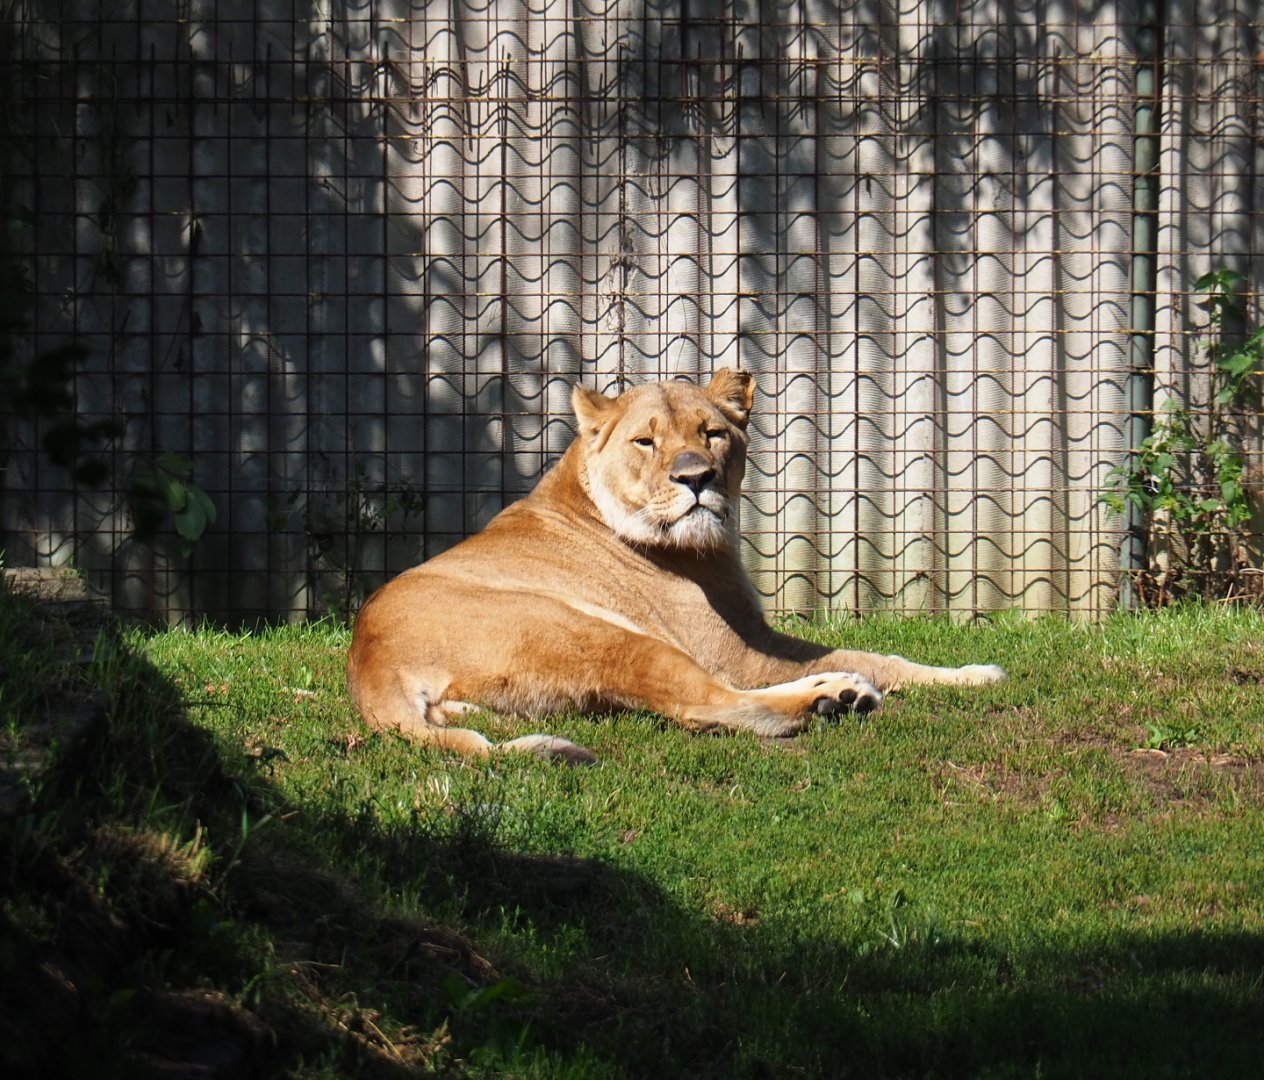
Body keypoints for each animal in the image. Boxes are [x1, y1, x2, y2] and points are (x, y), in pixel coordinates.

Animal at [347, 369, 1004, 763]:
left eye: (712, 433)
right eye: (646, 441)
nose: (696, 479)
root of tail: (369, 660)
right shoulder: (739, 650)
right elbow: (874, 656)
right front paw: (973, 674)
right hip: (610, 636)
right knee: (711, 706)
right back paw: (832, 699)